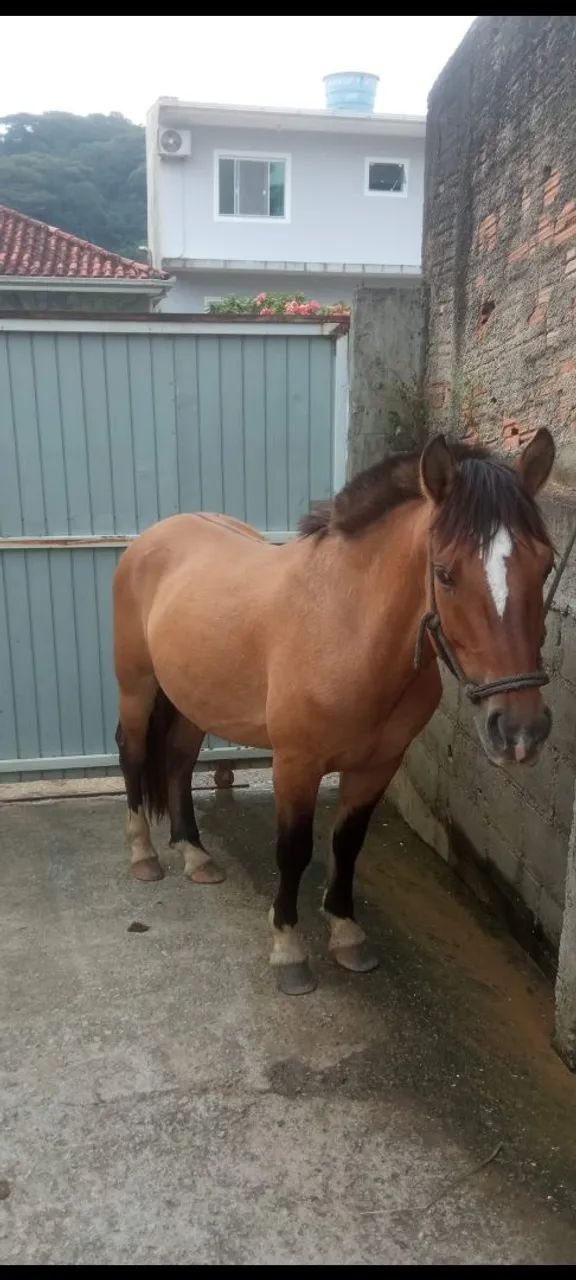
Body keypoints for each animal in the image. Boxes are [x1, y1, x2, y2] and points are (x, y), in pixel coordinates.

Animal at [113, 430, 555, 995]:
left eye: (546, 566)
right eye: (445, 573)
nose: (520, 730)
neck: (346, 627)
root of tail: (155, 535)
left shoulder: (378, 765)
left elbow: (347, 844)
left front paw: (347, 935)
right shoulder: (295, 765)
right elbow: (294, 850)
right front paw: (288, 949)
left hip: (193, 698)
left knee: (178, 760)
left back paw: (195, 854)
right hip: (137, 687)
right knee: (133, 753)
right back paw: (144, 856)